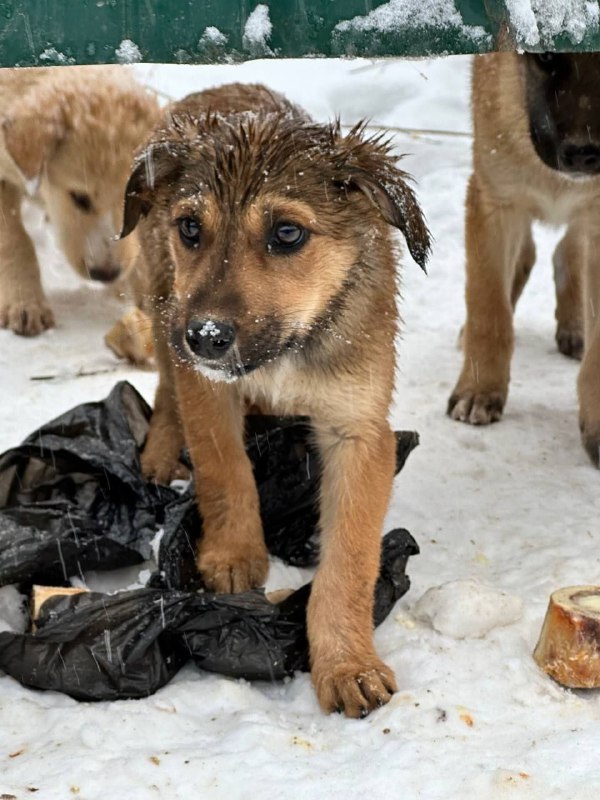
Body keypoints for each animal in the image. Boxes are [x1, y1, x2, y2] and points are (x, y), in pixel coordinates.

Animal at [122, 83, 432, 720]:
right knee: (165, 381)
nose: (207, 337)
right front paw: (233, 552)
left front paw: (347, 663)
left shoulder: (359, 430)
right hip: (164, 302)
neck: (288, 345)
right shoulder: (206, 385)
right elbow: (225, 467)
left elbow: (351, 560)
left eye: (287, 234)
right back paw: (162, 450)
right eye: (190, 227)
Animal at [448, 53, 600, 466]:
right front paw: (479, 389)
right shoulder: (492, 202)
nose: (583, 154)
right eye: (546, 57)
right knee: (528, 255)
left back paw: (574, 327)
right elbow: (489, 312)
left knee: (567, 251)